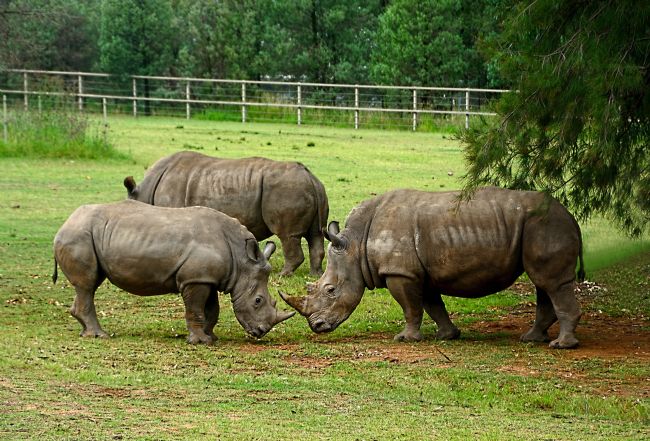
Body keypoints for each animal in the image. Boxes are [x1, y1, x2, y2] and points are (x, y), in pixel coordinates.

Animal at [53, 200, 294, 344]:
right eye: (258, 301)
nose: (261, 332)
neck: (241, 260)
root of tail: (64, 224)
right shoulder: (195, 279)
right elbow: (196, 309)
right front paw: (200, 342)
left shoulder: (206, 278)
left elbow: (212, 310)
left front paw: (210, 337)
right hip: (78, 236)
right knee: (87, 285)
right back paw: (99, 335)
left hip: (86, 235)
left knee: (89, 285)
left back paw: (87, 332)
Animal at [123, 151, 329, 276]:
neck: (144, 192)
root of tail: (310, 177)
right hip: (312, 189)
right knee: (315, 234)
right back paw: (316, 274)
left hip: (287, 190)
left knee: (287, 235)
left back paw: (283, 275)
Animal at [281, 187, 585, 349]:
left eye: (330, 290)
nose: (316, 326)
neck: (355, 244)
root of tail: (572, 218)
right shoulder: (418, 272)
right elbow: (432, 305)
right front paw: (447, 336)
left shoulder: (400, 272)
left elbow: (410, 307)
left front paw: (405, 339)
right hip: (540, 227)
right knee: (544, 284)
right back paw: (531, 339)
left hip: (545, 226)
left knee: (551, 283)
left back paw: (561, 345)